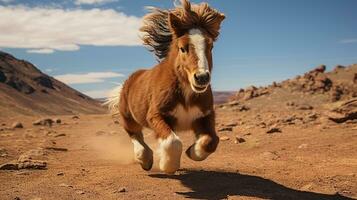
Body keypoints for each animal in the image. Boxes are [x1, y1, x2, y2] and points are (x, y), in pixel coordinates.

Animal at [105, 0, 225, 174]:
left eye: (210, 46)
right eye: (183, 48)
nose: (202, 78)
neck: (186, 93)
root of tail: (128, 81)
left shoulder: (205, 115)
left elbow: (212, 141)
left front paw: (192, 151)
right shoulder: (156, 115)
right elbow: (173, 142)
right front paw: (167, 165)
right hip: (128, 117)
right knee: (135, 135)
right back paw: (145, 160)